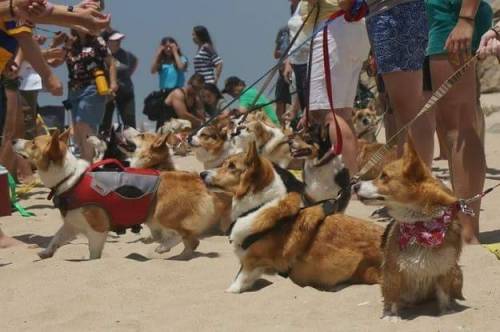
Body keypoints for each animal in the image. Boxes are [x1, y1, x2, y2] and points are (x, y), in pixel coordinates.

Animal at [13, 130, 231, 260]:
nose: (13, 139)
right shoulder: (71, 224)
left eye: (33, 143)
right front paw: (45, 252)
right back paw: (179, 255)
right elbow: (56, 239)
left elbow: (93, 253)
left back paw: (163, 248)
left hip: (161, 214)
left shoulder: (97, 229)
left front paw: (90, 260)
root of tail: (198, 179)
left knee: (182, 235)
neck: (70, 178)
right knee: (191, 241)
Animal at [202, 143, 382, 294]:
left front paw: (231, 290)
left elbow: (239, 280)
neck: (258, 206)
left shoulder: (253, 261)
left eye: (232, 166)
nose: (202, 173)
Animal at [356, 139, 464, 320]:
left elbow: (443, 294)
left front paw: (446, 311)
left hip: (457, 273)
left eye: (384, 176)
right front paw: (391, 316)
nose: (354, 185)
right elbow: (392, 296)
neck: (422, 228)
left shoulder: (445, 268)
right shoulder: (392, 271)